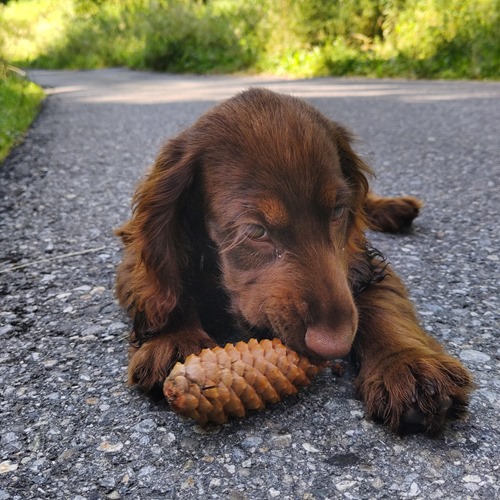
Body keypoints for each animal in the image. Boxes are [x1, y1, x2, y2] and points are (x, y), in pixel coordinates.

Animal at [117, 89, 472, 434]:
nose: (334, 345)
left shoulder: (358, 260)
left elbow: (382, 305)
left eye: (338, 212)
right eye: (255, 231)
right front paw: (176, 339)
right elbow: (167, 280)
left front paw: (408, 366)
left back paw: (394, 207)